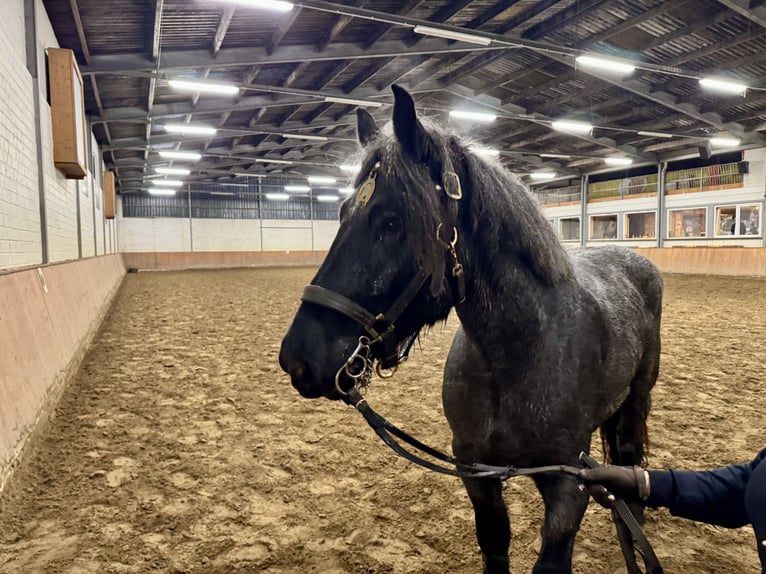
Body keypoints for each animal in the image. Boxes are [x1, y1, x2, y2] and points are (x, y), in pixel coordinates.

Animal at [279, 84, 663, 574]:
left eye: (392, 221)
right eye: (344, 211)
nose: (299, 357)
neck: (516, 358)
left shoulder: (567, 487)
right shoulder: (475, 472)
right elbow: (494, 543)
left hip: (635, 405)